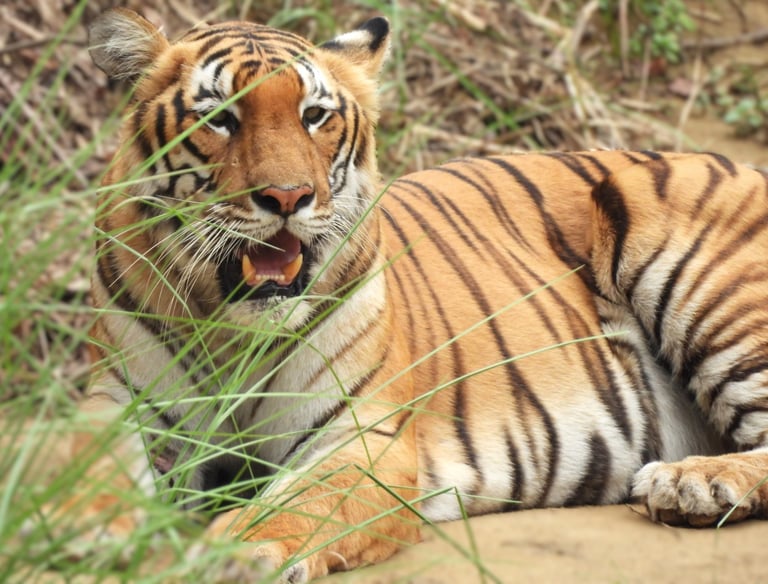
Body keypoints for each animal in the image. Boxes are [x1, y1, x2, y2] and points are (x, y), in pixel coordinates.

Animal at [46, 6, 768, 582]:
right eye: (222, 118)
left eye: (313, 117)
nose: (288, 197)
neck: (231, 327)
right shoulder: (119, 402)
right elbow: (91, 466)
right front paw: (85, 527)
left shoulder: (362, 437)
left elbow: (296, 504)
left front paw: (230, 554)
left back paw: (693, 482)